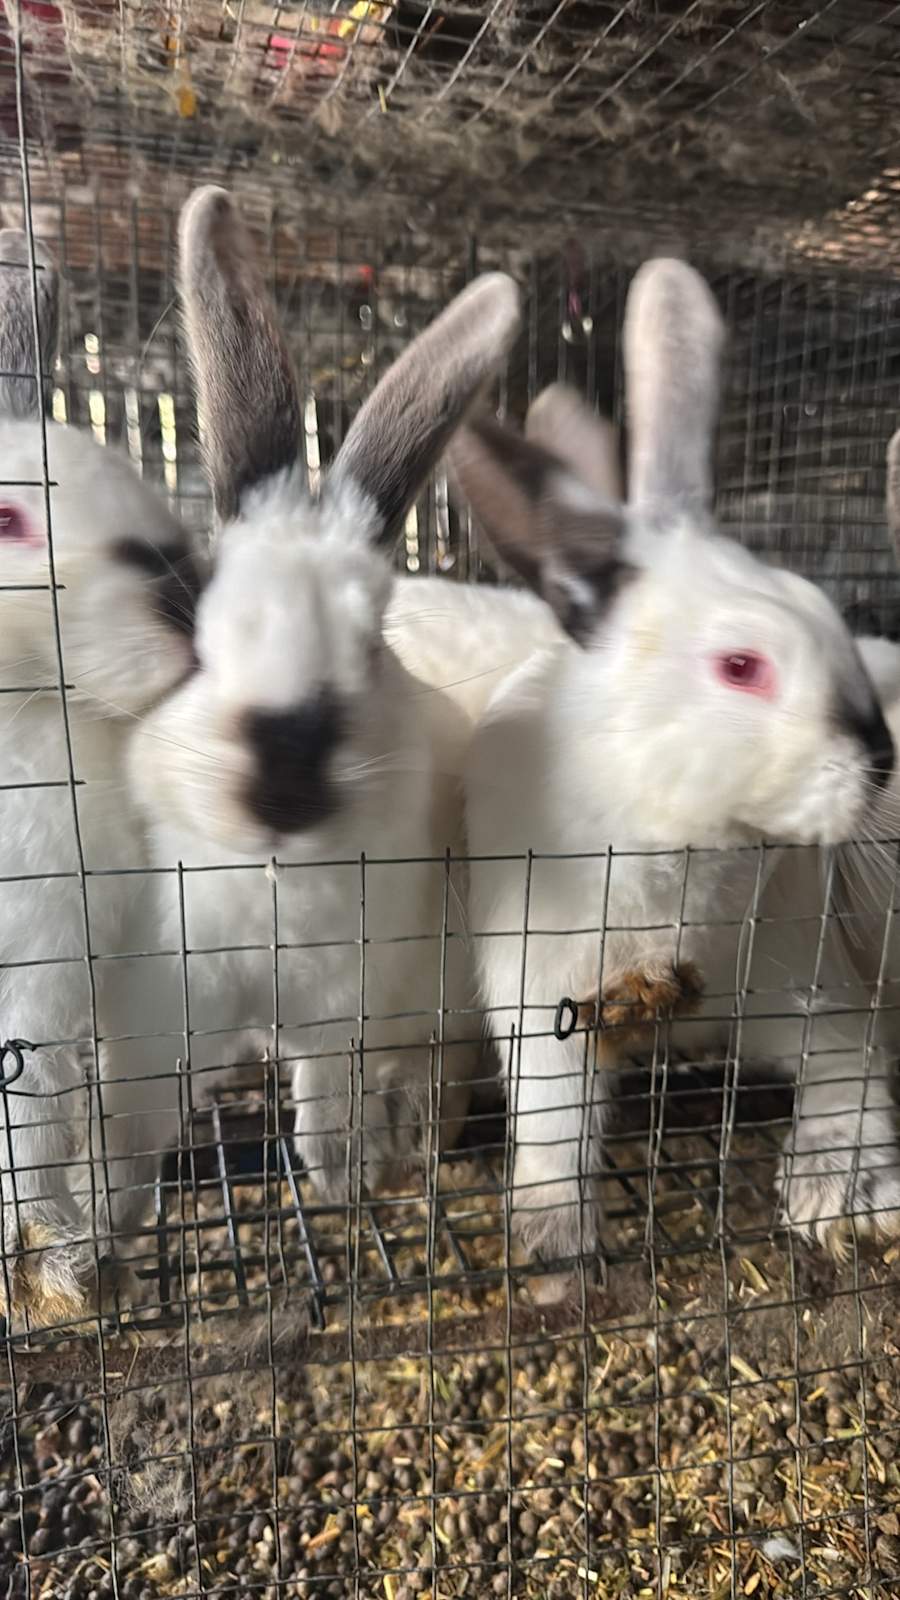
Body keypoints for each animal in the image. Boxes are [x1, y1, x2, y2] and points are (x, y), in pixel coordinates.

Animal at [127, 187, 522, 1205]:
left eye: (371, 640)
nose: (284, 781)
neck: (275, 872)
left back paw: (416, 1143)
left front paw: (342, 1181)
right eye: (199, 629)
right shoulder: (184, 990)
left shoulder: (347, 1005)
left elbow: (328, 1096)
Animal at [445, 257, 896, 1274]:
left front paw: (842, 1199)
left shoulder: (801, 977)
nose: (881, 763)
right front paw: (553, 1245)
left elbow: (851, 1078)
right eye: (741, 666)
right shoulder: (540, 993)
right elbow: (553, 1122)